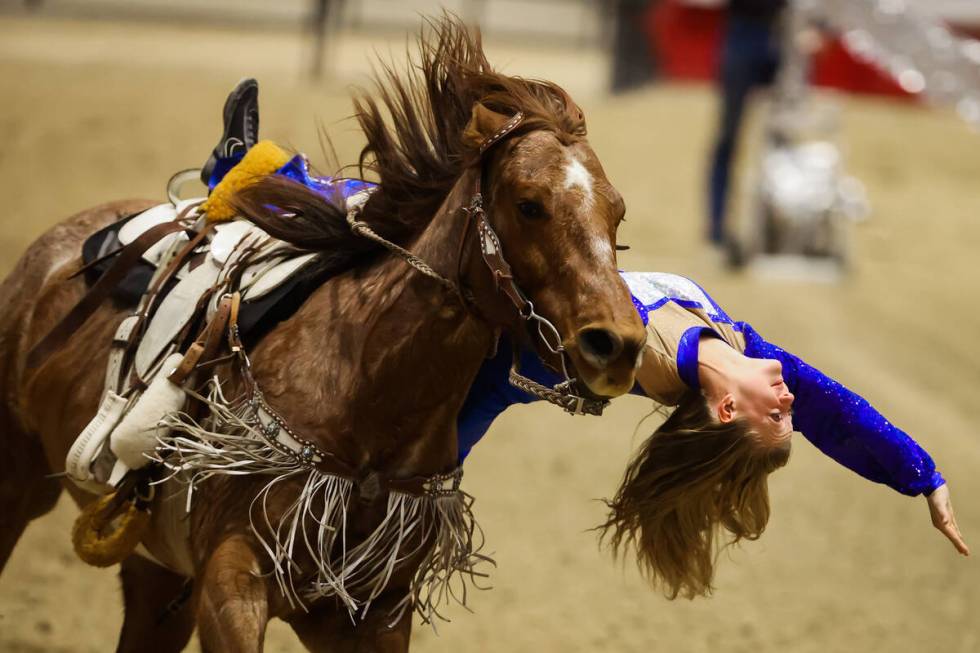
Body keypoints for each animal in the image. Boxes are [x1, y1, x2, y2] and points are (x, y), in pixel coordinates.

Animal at [0, 17, 648, 648]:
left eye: (616, 213)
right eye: (529, 203)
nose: (618, 343)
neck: (368, 396)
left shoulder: (373, 613)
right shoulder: (230, 582)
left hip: (153, 572)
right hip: (18, 480)